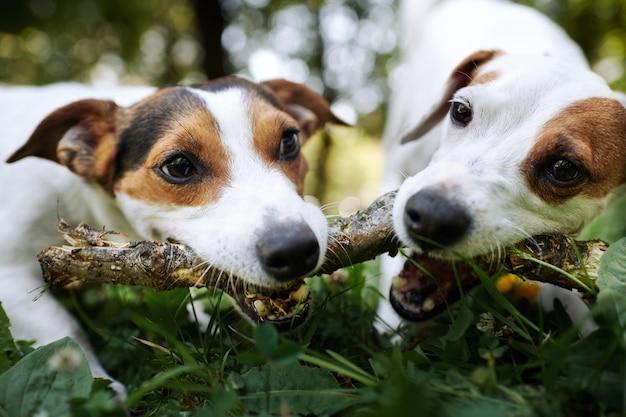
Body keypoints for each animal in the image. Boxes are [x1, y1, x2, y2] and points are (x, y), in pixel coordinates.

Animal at [0, 77, 342, 394]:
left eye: (289, 140)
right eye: (178, 165)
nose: (294, 250)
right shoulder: (10, 274)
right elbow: (64, 328)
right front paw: (95, 381)